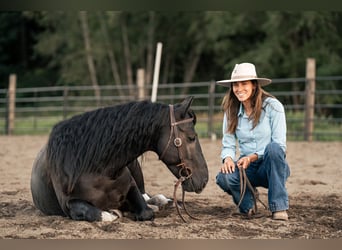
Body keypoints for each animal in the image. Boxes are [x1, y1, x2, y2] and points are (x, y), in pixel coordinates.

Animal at [30, 96, 208, 223]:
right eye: (192, 137)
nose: (205, 179)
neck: (97, 169)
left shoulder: (132, 187)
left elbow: (146, 211)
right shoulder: (70, 205)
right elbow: (104, 215)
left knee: (147, 195)